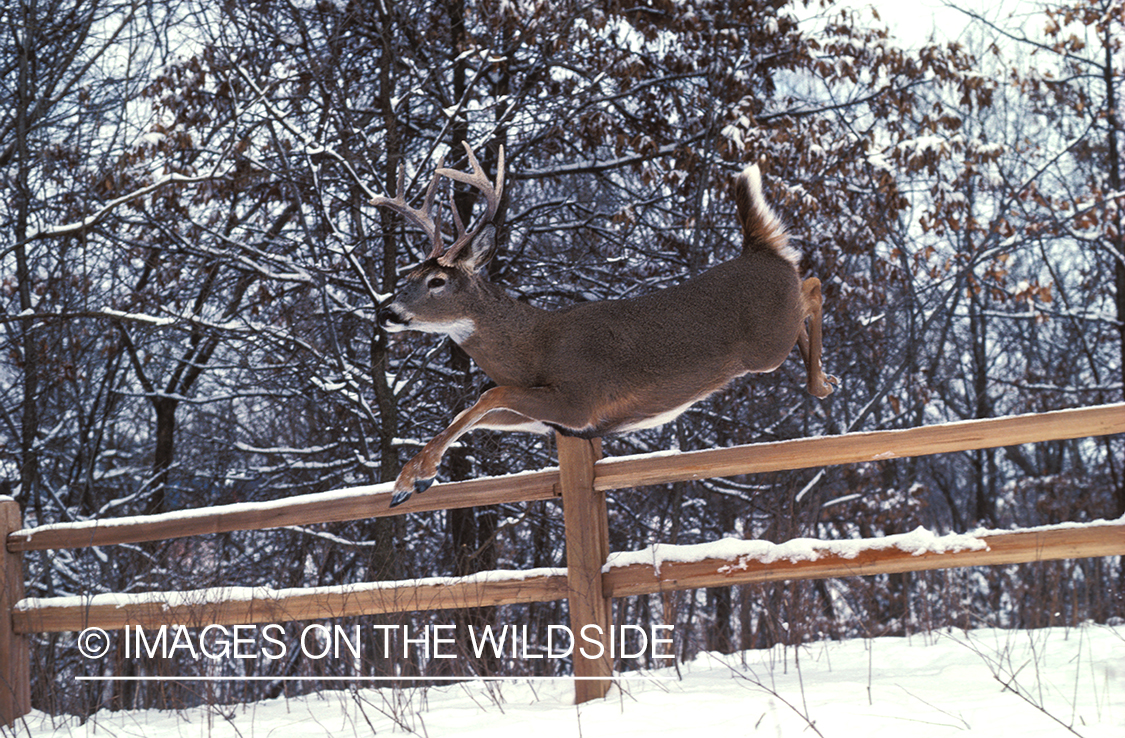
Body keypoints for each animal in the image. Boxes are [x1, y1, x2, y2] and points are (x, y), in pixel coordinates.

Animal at [374, 143, 837, 507]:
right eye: (410, 274)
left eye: (437, 281)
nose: (387, 313)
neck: (535, 347)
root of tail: (759, 250)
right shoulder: (554, 419)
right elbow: (474, 411)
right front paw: (408, 481)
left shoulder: (580, 399)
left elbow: (489, 395)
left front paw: (416, 476)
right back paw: (826, 377)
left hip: (767, 344)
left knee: (813, 286)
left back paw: (820, 382)